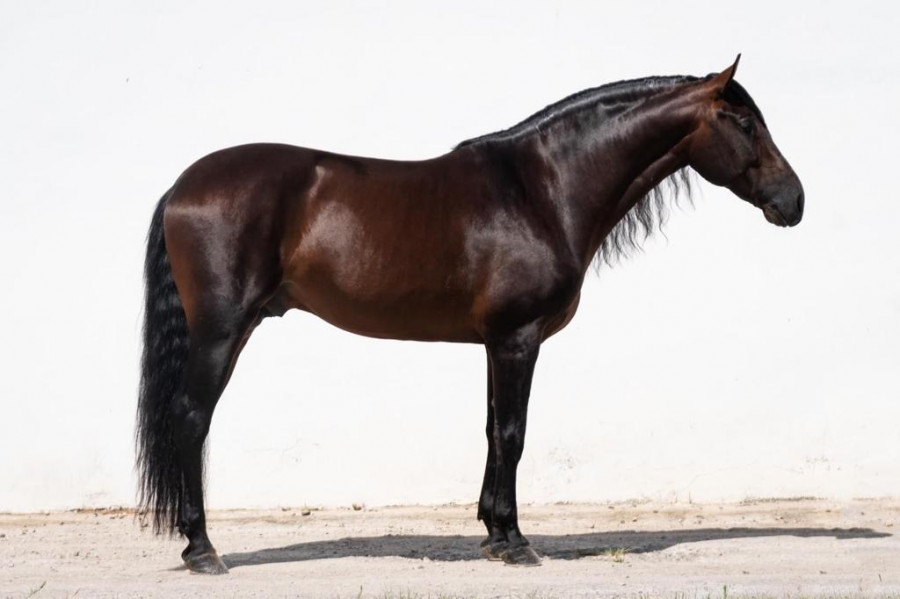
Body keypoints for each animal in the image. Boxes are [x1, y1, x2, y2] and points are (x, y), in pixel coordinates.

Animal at [136, 56, 804, 574]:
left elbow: (491, 431)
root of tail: (182, 186)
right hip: (222, 331)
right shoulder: (518, 339)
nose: (794, 201)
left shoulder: (493, 342)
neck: (542, 190)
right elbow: (513, 433)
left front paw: (493, 534)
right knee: (191, 419)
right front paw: (516, 543)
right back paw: (202, 550)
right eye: (746, 123)